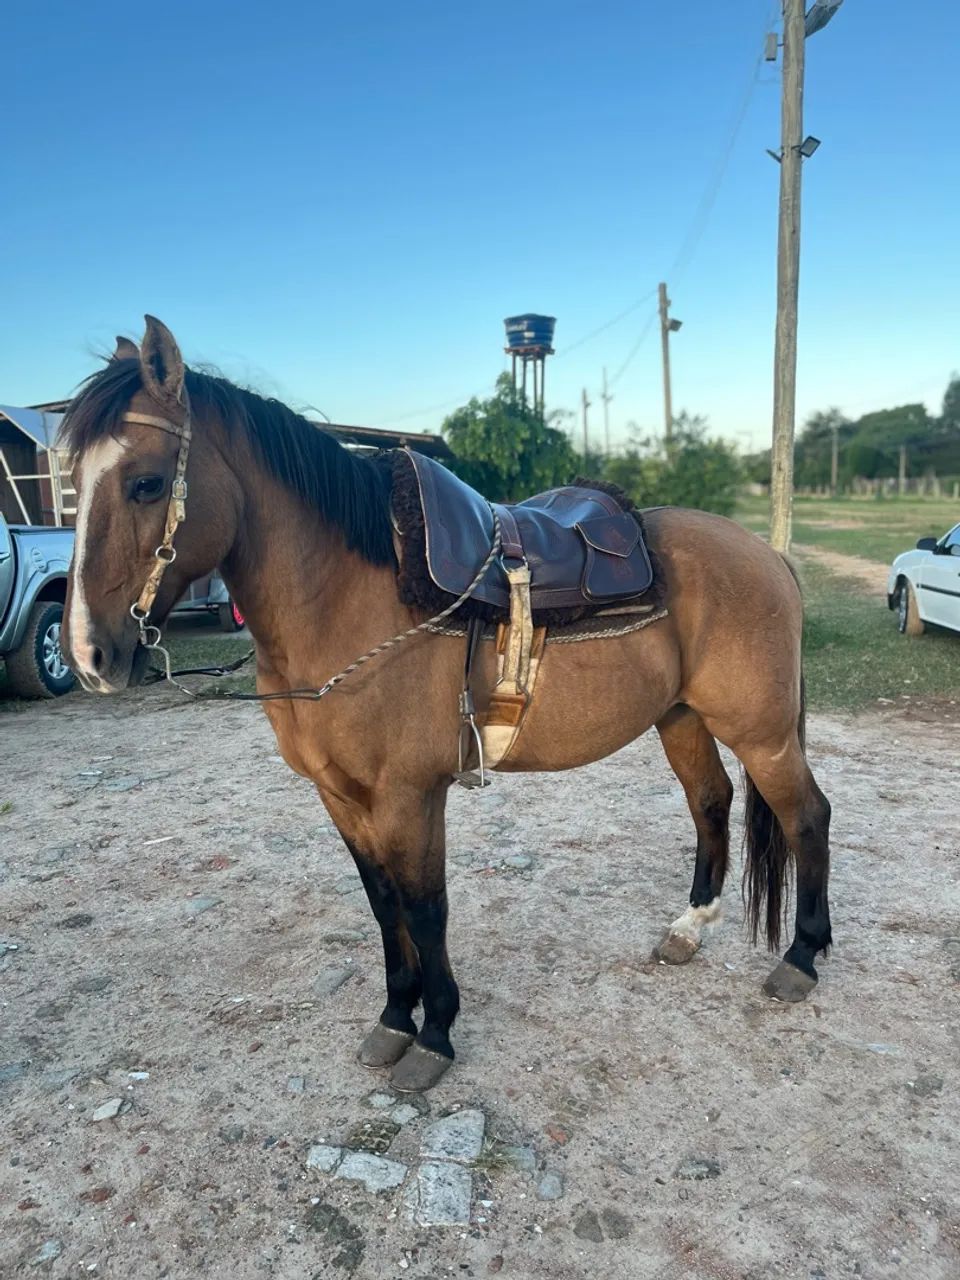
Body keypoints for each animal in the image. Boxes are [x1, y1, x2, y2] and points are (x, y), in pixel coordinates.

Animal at [60, 316, 832, 1093]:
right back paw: (689, 929)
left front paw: (434, 1036)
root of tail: (766, 555)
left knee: (806, 816)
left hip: (760, 731)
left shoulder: (410, 794)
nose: (90, 656)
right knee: (711, 802)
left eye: (147, 482)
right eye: (70, 486)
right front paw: (394, 1019)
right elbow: (383, 904)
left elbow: (426, 908)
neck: (348, 600)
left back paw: (801, 959)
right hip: (681, 719)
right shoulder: (340, 795)